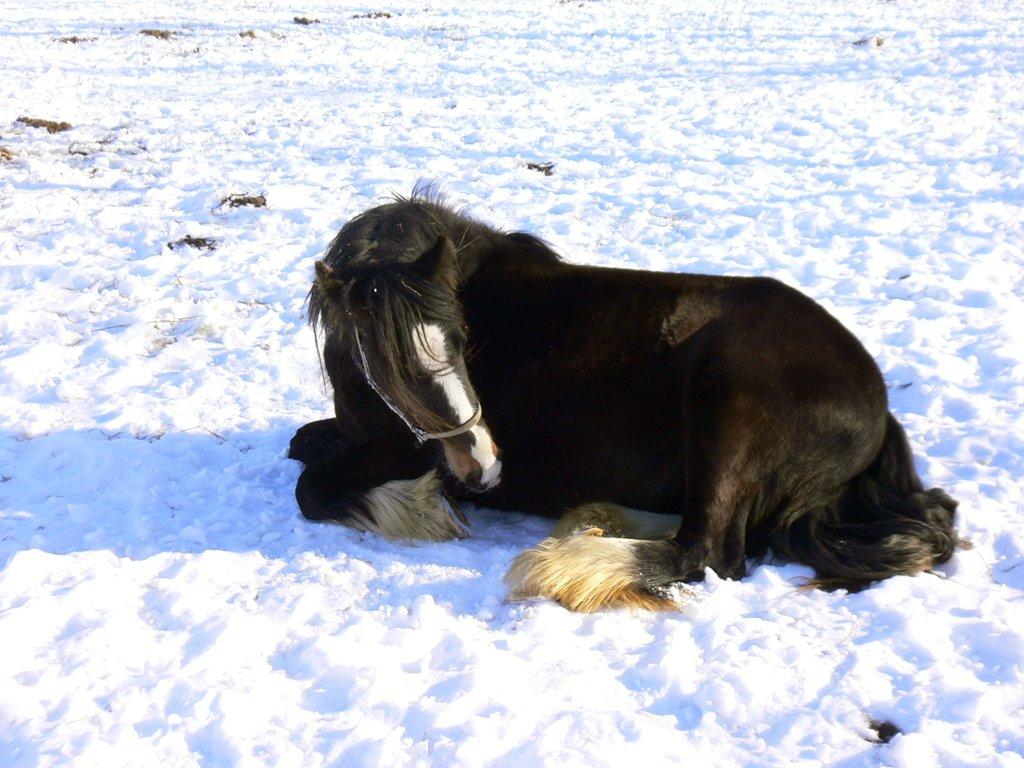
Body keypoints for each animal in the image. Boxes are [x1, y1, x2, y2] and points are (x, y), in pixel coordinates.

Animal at [286, 191, 958, 614]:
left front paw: (421, 508)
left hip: (727, 405)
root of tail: (877, 406)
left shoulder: (404, 449)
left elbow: (310, 487)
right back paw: (595, 519)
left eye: (459, 335)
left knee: (709, 548)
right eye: (385, 362)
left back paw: (567, 564)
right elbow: (303, 442)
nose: (485, 467)